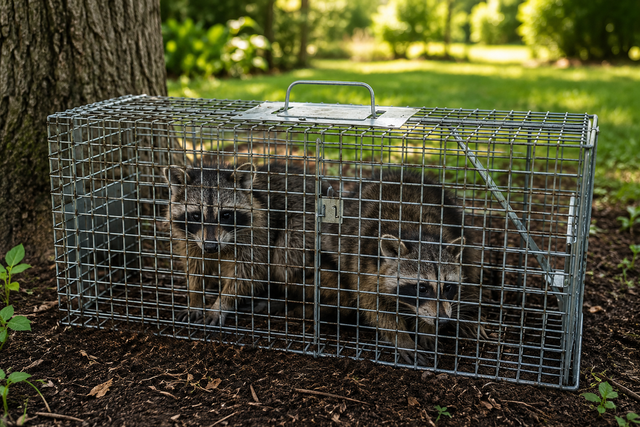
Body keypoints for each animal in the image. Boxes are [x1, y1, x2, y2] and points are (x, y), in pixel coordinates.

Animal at [163, 161, 322, 326]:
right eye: (196, 216)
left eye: (226, 215)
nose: (210, 247)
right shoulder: (192, 240)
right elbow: (195, 267)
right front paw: (195, 298)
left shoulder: (257, 235)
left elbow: (247, 273)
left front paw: (221, 303)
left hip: (302, 225)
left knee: (287, 256)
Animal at [323, 169, 486, 364]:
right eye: (422, 288)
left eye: (447, 287)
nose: (443, 321)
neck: (415, 233)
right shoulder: (363, 267)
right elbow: (375, 307)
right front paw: (401, 337)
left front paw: (427, 330)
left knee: (470, 262)